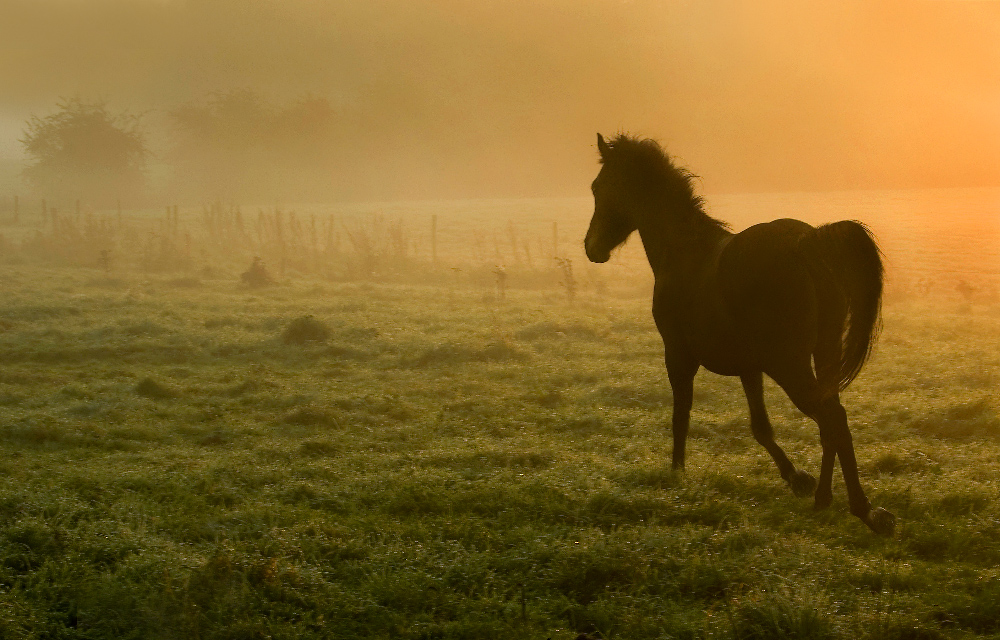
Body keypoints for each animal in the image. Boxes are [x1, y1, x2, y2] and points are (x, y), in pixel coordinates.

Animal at [584, 134, 896, 536]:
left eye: (599, 187)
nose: (592, 247)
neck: (685, 252)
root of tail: (808, 241)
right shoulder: (750, 367)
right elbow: (760, 427)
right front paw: (798, 479)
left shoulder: (678, 355)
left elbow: (680, 414)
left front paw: (676, 473)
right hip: (821, 355)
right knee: (831, 420)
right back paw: (824, 498)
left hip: (790, 365)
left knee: (833, 420)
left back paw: (865, 510)